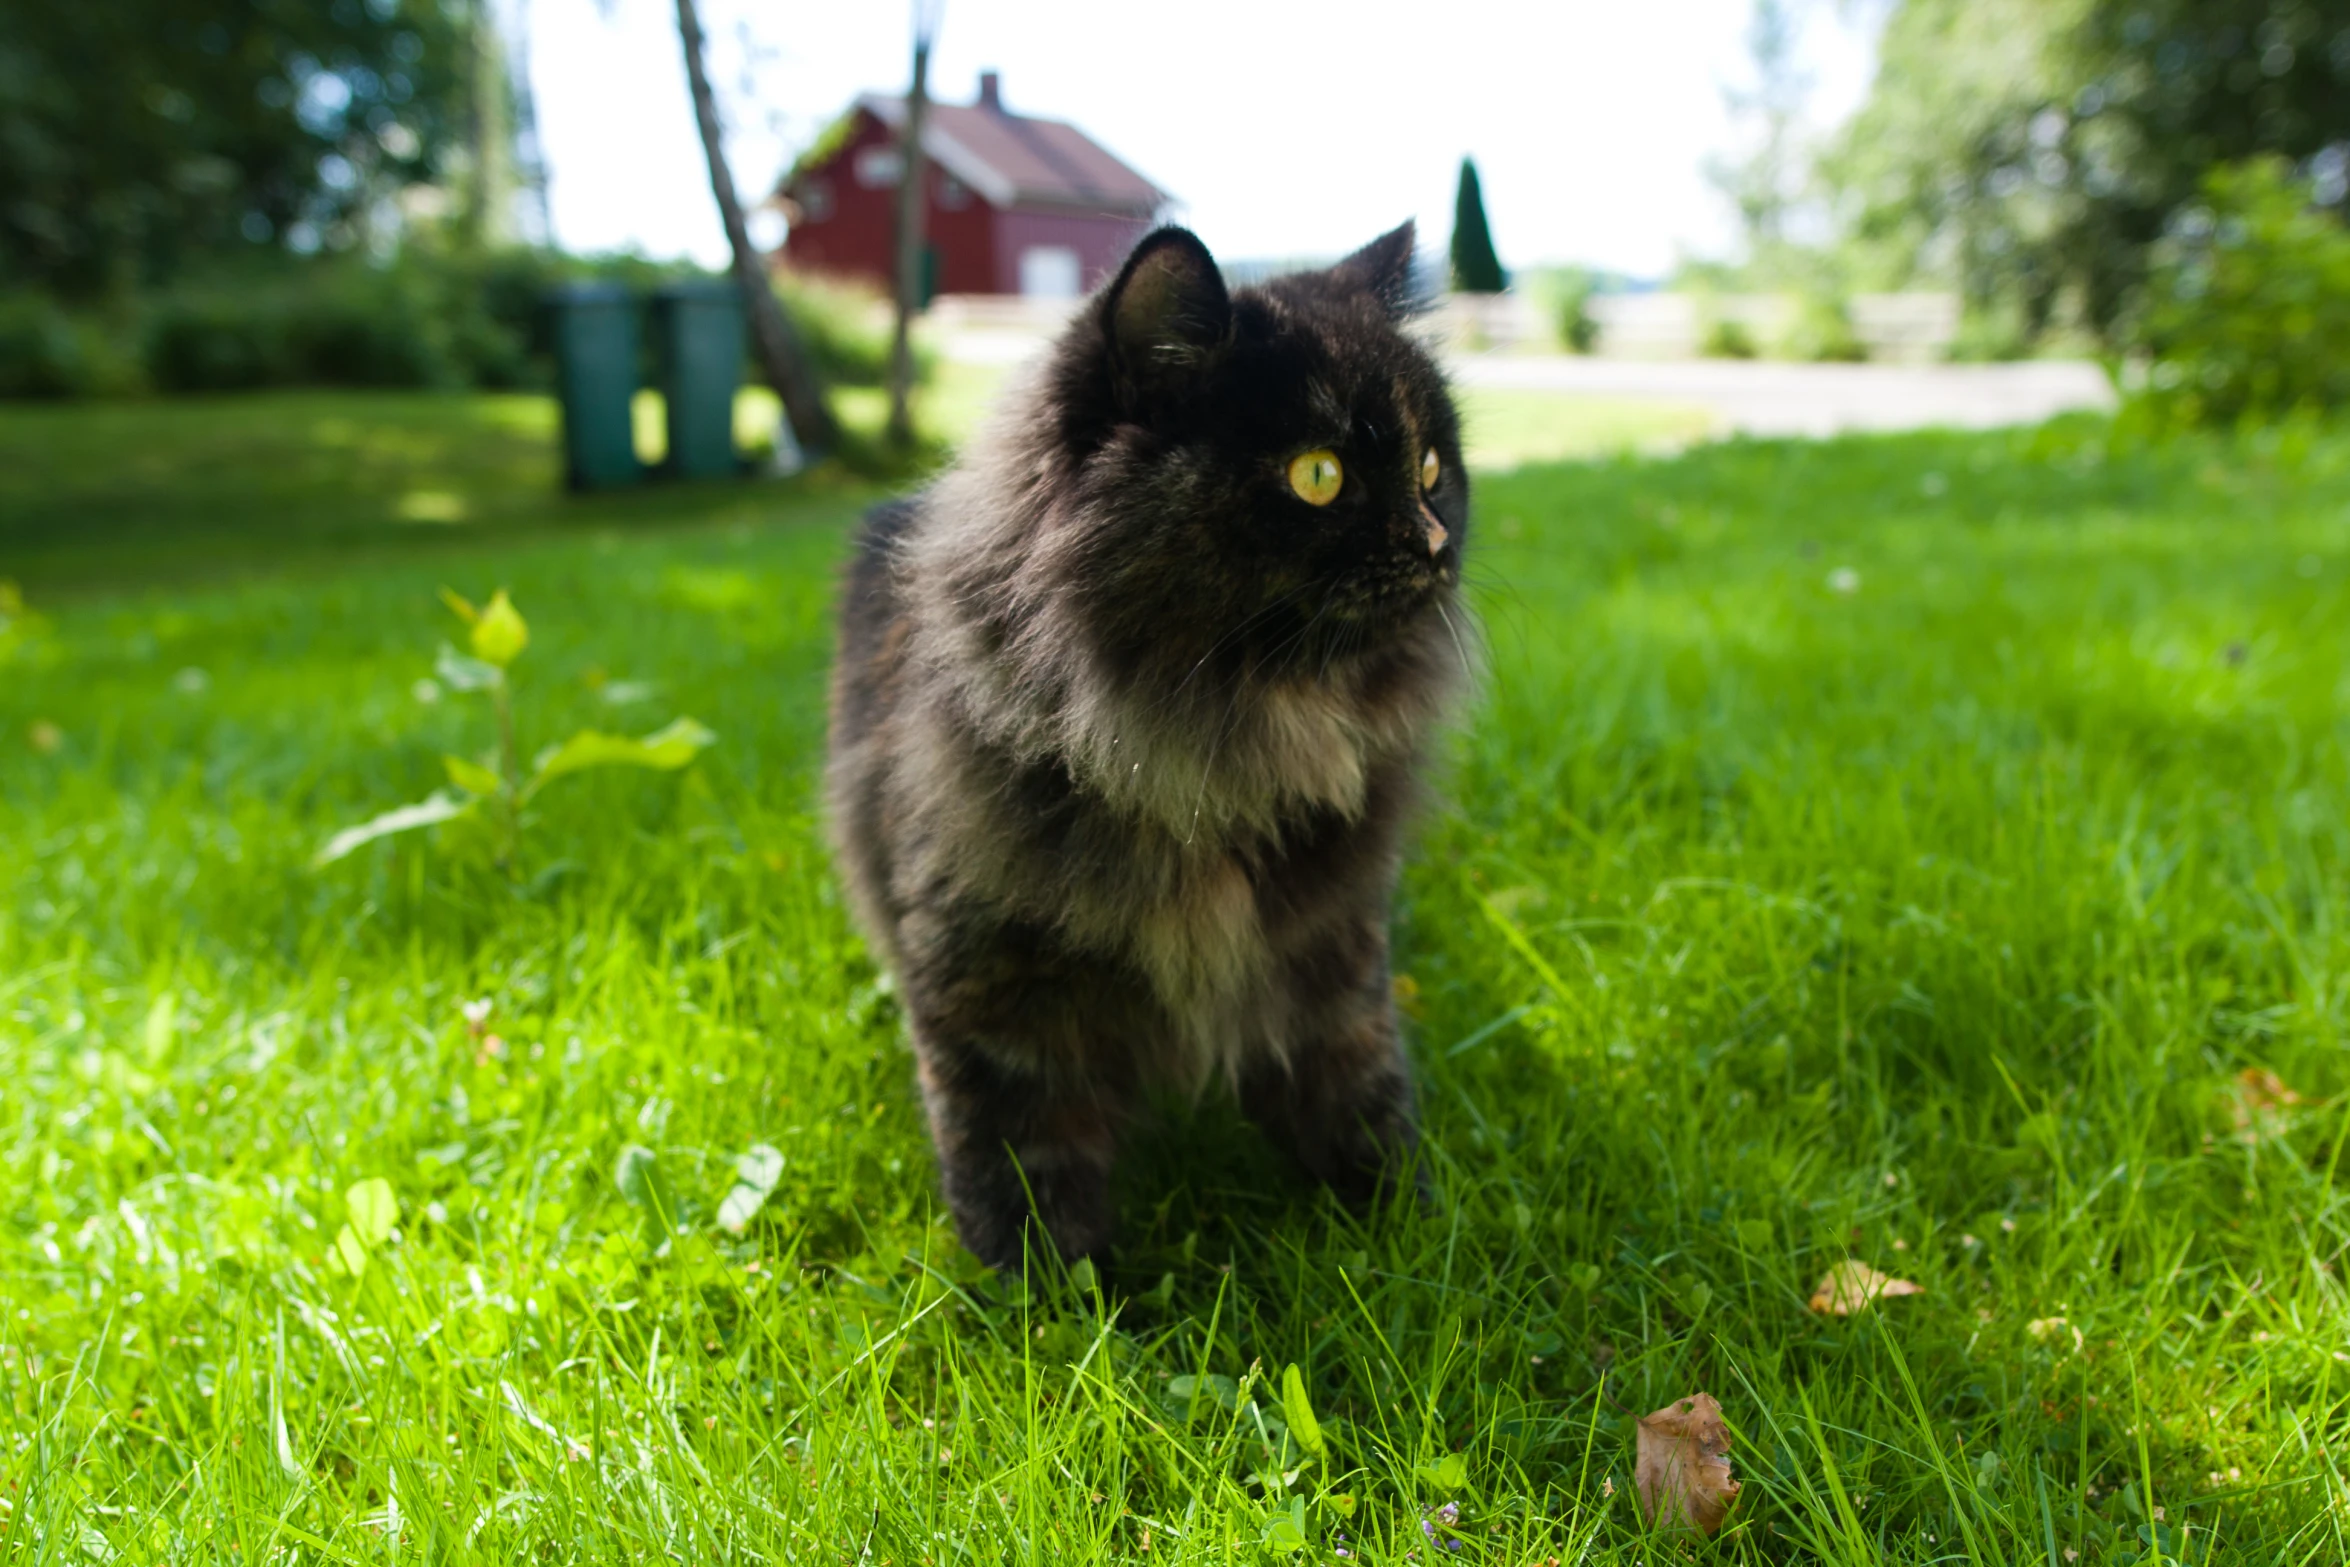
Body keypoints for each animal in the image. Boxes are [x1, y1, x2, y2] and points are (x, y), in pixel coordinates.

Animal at [827, 220, 1466, 1278]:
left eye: (1429, 469)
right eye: (1318, 474)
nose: (1435, 544)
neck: (1211, 747)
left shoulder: (1332, 954)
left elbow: (1363, 1101)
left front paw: (1415, 1243)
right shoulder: (995, 1003)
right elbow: (1022, 1179)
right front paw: (1059, 1305)